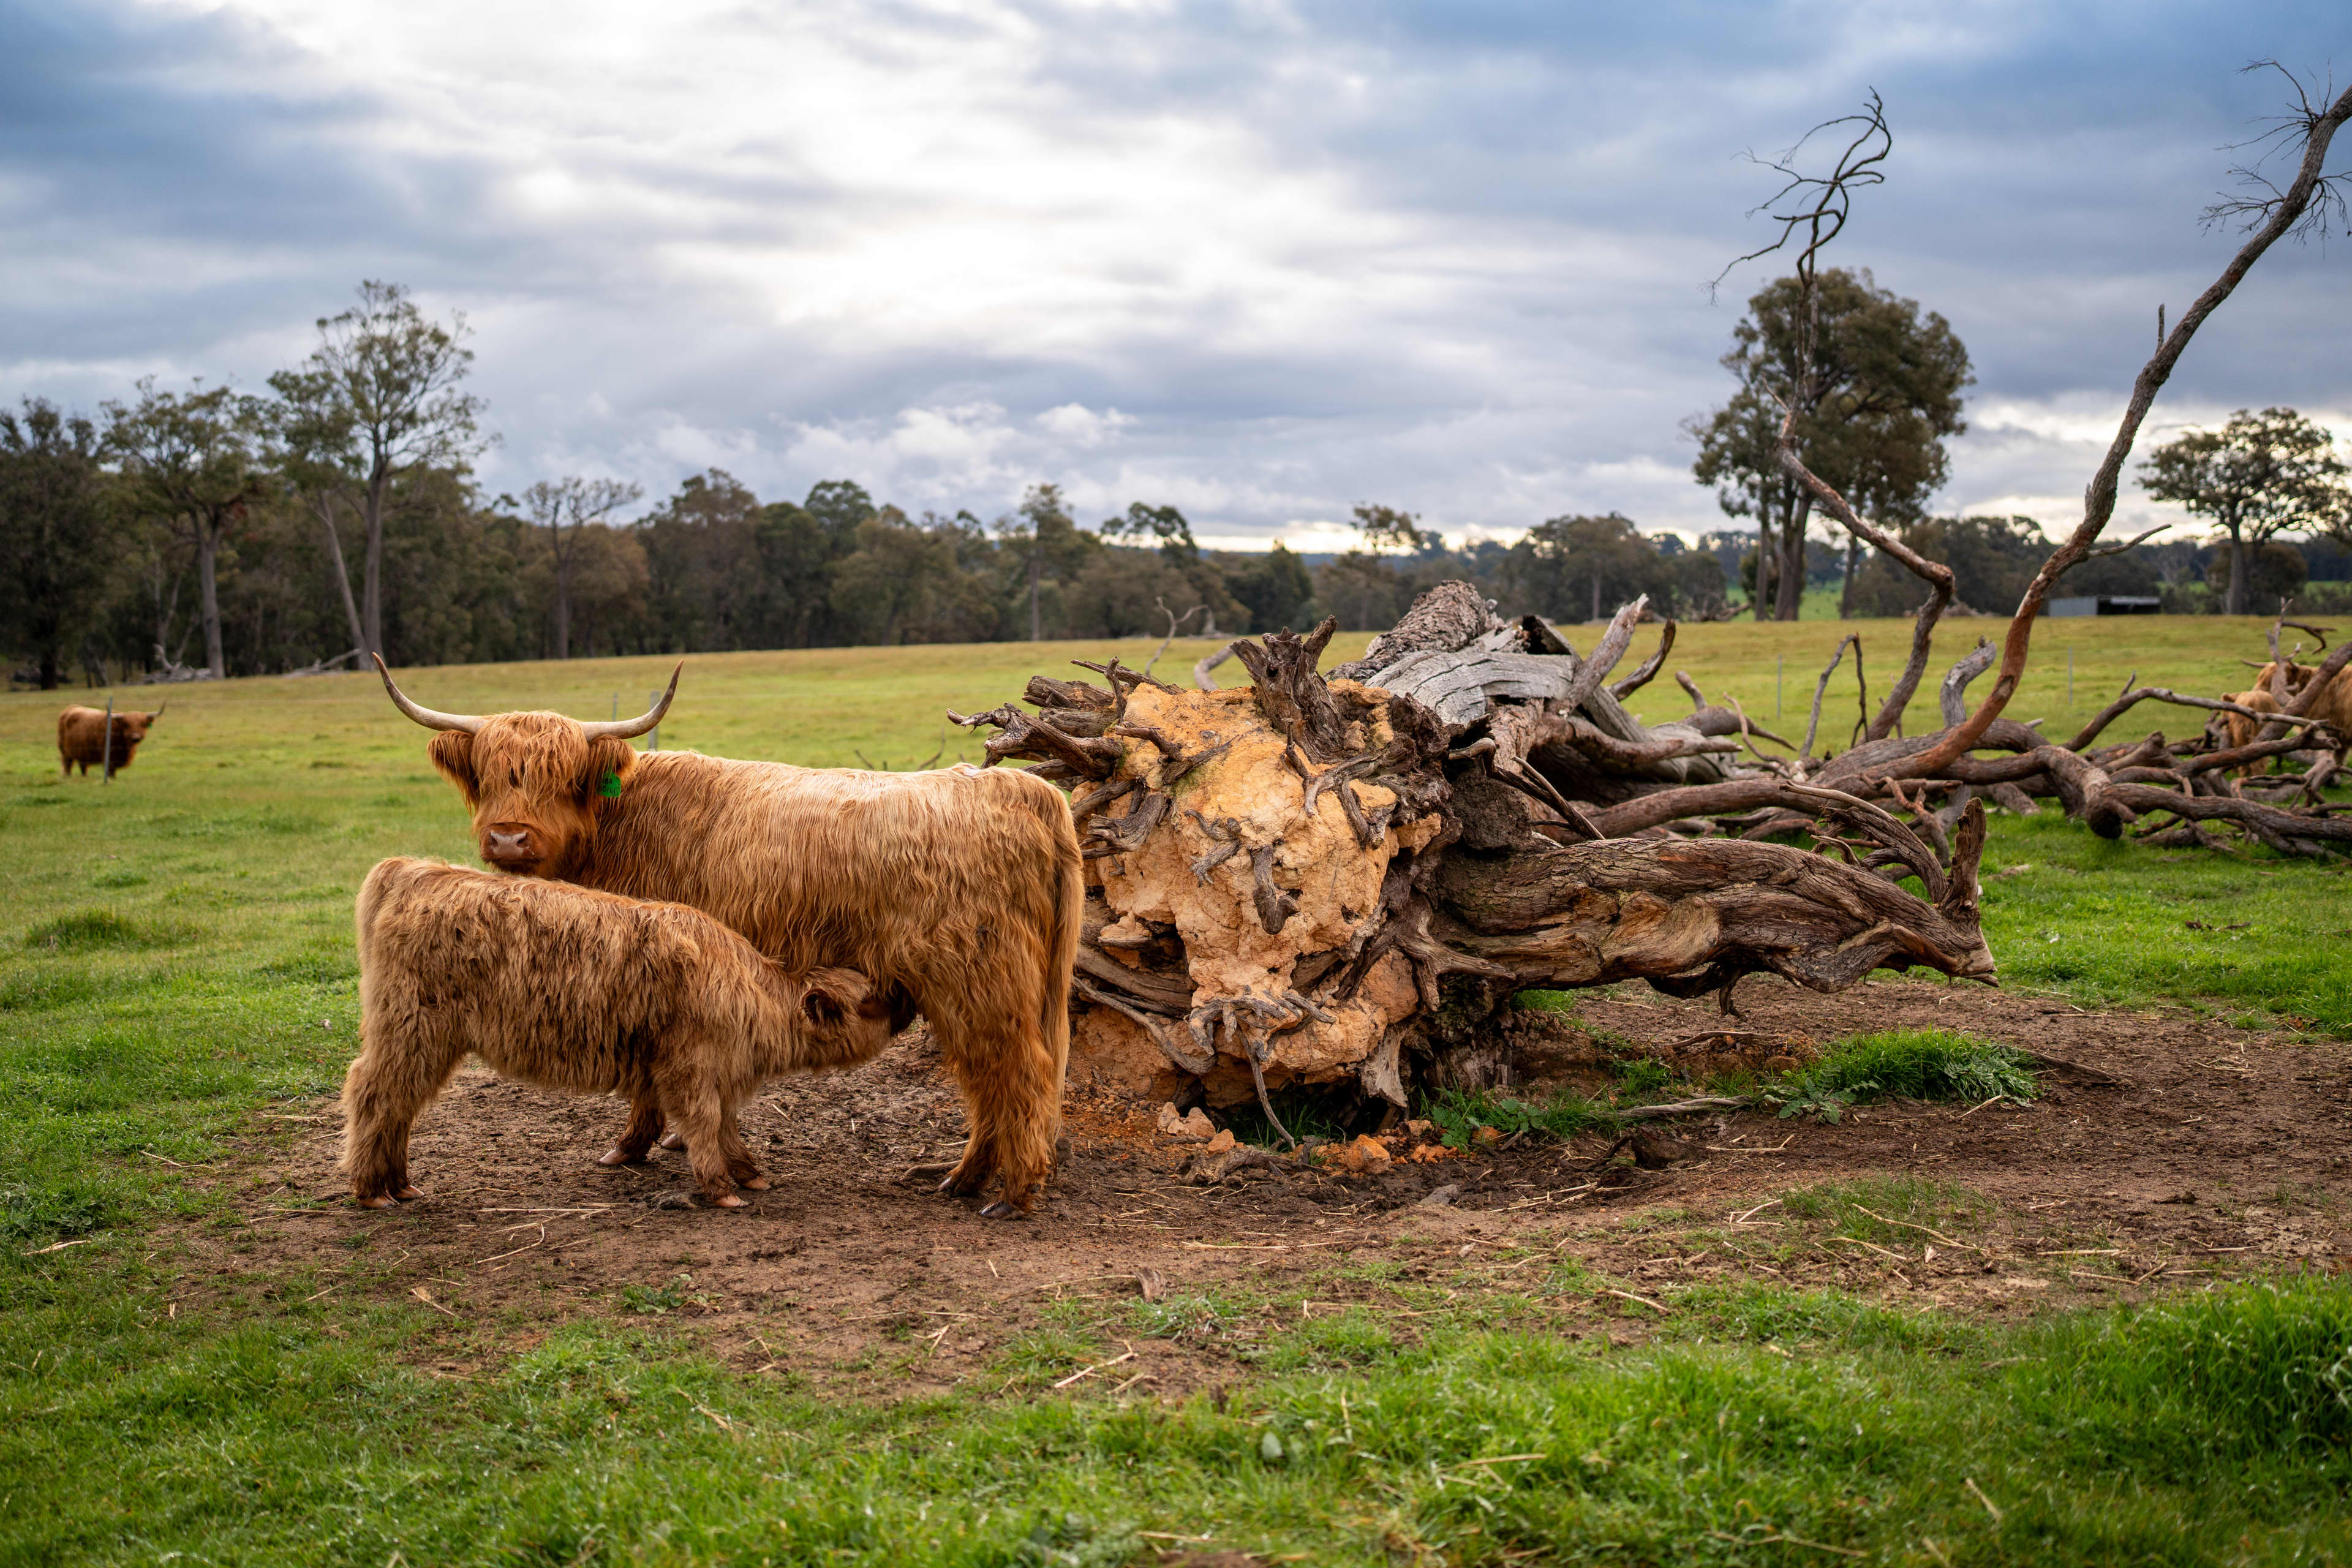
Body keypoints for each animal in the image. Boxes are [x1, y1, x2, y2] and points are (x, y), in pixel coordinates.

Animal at [57, 704, 163, 777]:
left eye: (143, 724)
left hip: (82, 753)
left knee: (83, 767)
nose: (136, 737)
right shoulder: (108, 758)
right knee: (67, 766)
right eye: (127, 724)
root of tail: (70, 708)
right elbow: (110, 773)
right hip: (65, 752)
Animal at [343, 856, 898, 1209]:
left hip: (424, 1041)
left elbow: (726, 1128)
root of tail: (413, 870)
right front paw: (721, 1189)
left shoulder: (715, 1075)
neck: (752, 993)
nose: (905, 1002)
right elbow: (704, 1125)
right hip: (413, 1029)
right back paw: (373, 1191)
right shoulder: (690, 1069)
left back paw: (400, 1184)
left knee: (401, 1104)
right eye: (870, 1000)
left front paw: (750, 1174)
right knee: (375, 1094)